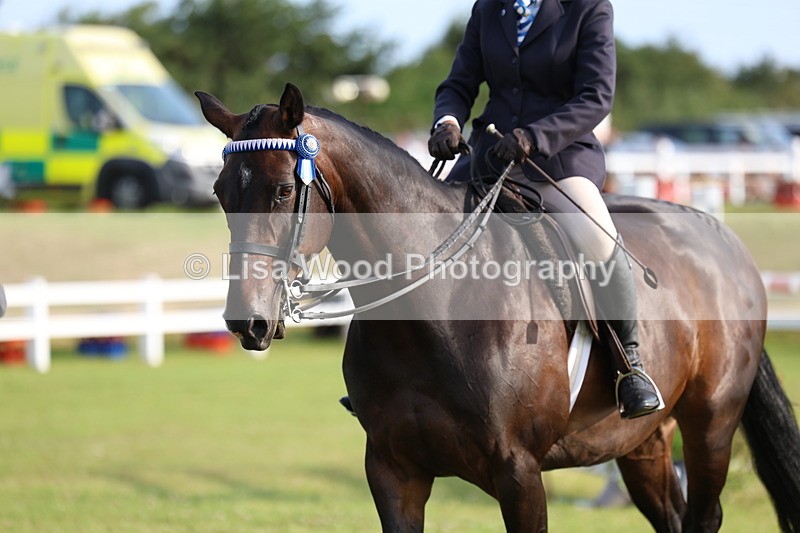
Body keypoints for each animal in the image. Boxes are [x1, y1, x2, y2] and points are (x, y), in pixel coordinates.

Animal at [195, 83, 800, 532]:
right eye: (221, 194)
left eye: (281, 191)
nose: (246, 321)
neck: (433, 312)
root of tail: (722, 239)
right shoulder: (392, 471)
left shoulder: (520, 473)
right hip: (643, 442)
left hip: (711, 425)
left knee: (703, 513)